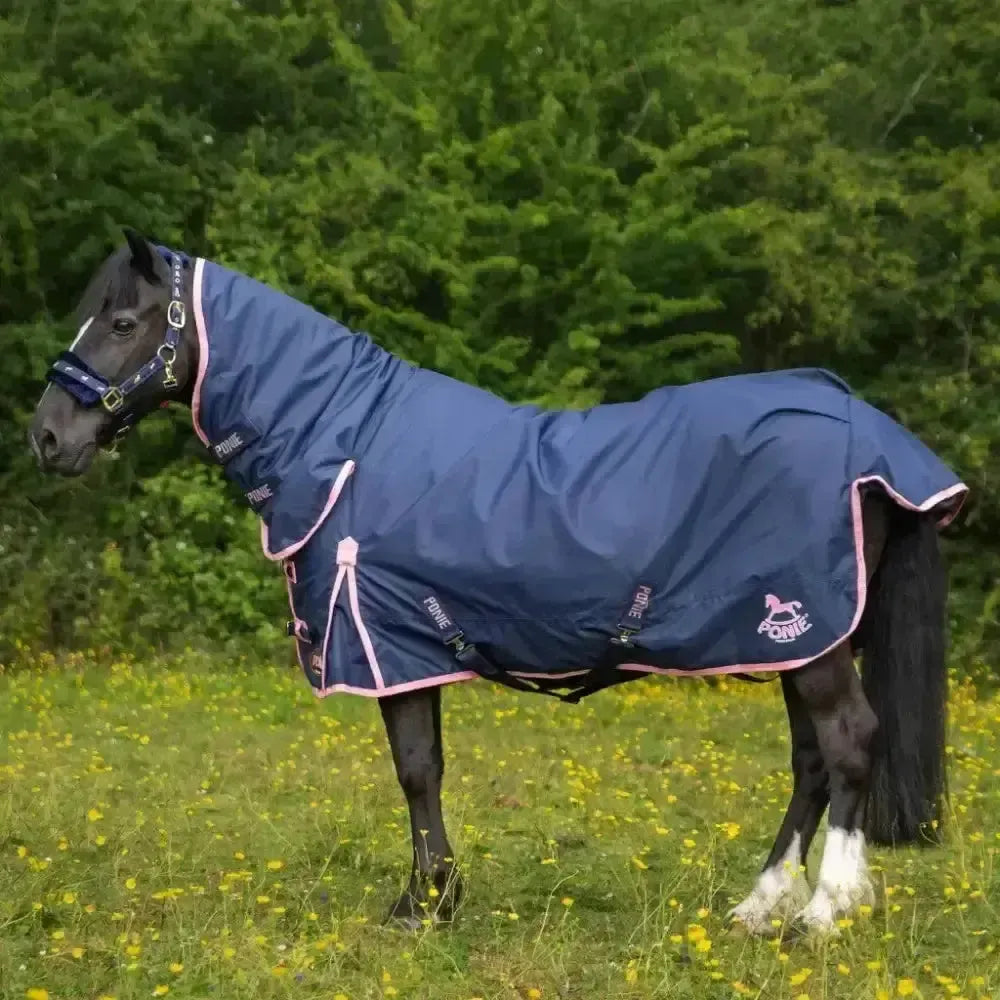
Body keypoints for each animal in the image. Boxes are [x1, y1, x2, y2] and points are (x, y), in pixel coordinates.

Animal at [30, 230, 967, 936]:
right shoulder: (411, 650)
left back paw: (823, 912)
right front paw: (433, 898)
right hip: (794, 638)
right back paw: (758, 905)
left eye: (122, 320)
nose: (47, 437)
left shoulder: (389, 646)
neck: (345, 445)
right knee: (811, 761)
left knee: (848, 743)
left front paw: (423, 907)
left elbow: (415, 771)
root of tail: (867, 431)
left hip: (808, 634)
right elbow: (428, 769)